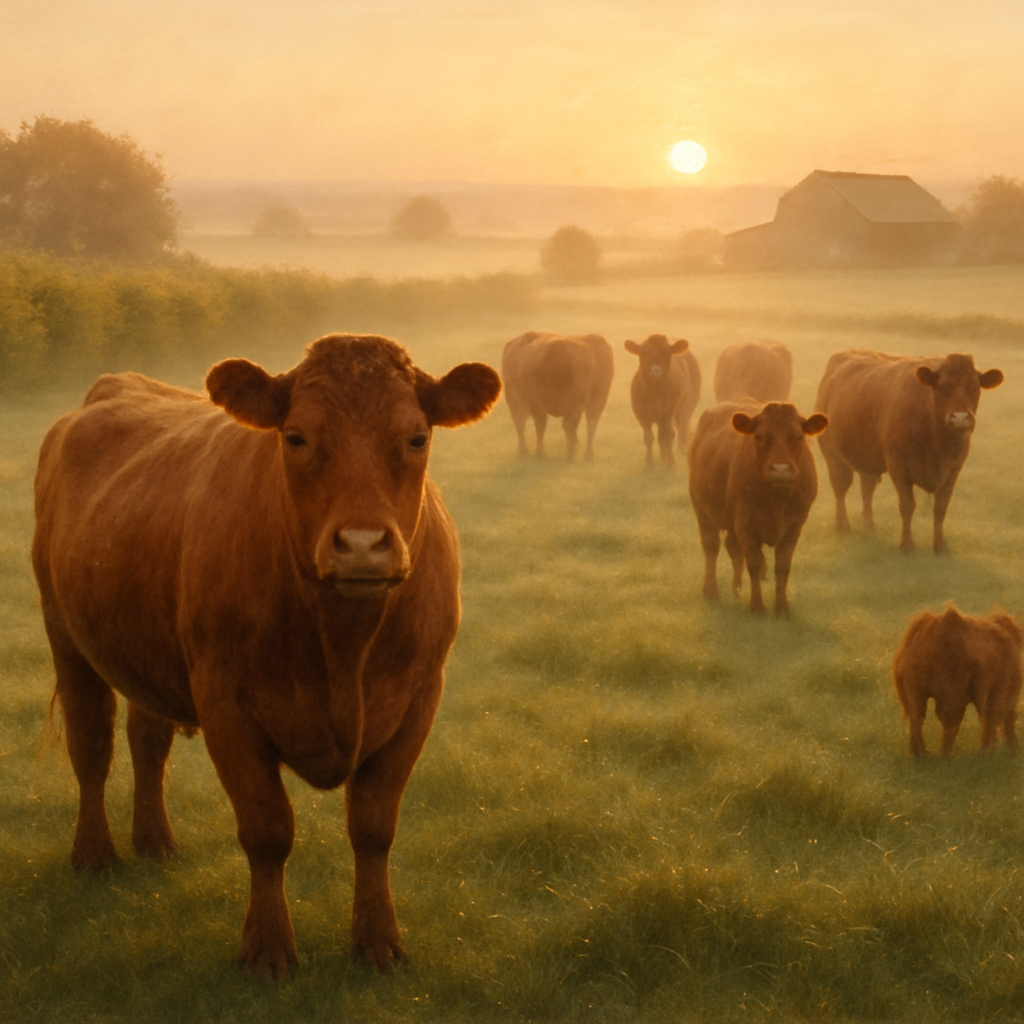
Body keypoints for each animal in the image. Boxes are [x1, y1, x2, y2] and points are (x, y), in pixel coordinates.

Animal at [31, 333, 502, 980]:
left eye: (416, 437)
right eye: (296, 436)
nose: (361, 545)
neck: (342, 646)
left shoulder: (419, 698)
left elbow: (374, 826)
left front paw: (379, 940)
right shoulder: (226, 703)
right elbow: (267, 829)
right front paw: (269, 948)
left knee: (147, 740)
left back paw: (154, 841)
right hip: (67, 637)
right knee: (91, 746)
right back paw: (94, 853)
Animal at [624, 334, 702, 467]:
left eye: (666, 352)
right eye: (643, 352)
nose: (655, 370)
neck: (655, 392)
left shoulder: (668, 413)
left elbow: (668, 435)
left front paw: (670, 463)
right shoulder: (642, 415)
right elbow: (649, 437)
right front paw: (649, 461)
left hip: (687, 408)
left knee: (682, 430)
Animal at [688, 400, 828, 614]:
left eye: (798, 436)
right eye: (760, 436)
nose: (780, 469)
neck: (777, 499)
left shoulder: (794, 527)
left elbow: (782, 567)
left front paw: (782, 607)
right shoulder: (746, 525)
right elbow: (753, 564)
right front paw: (757, 606)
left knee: (733, 549)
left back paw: (736, 589)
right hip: (703, 513)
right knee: (712, 548)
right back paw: (711, 590)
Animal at [814, 349, 1004, 553]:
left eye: (974, 387)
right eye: (942, 386)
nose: (960, 418)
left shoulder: (953, 469)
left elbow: (941, 507)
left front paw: (940, 545)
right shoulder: (898, 467)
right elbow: (907, 505)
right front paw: (907, 544)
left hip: (868, 460)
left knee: (867, 489)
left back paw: (869, 526)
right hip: (832, 455)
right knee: (840, 487)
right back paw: (842, 526)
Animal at [894, 604, 1023, 758]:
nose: (1016, 747)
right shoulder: (997, 691)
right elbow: (992, 718)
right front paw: (989, 751)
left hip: (915, 692)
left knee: (917, 719)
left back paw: (921, 755)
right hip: (952, 694)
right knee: (950, 722)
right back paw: (945, 756)